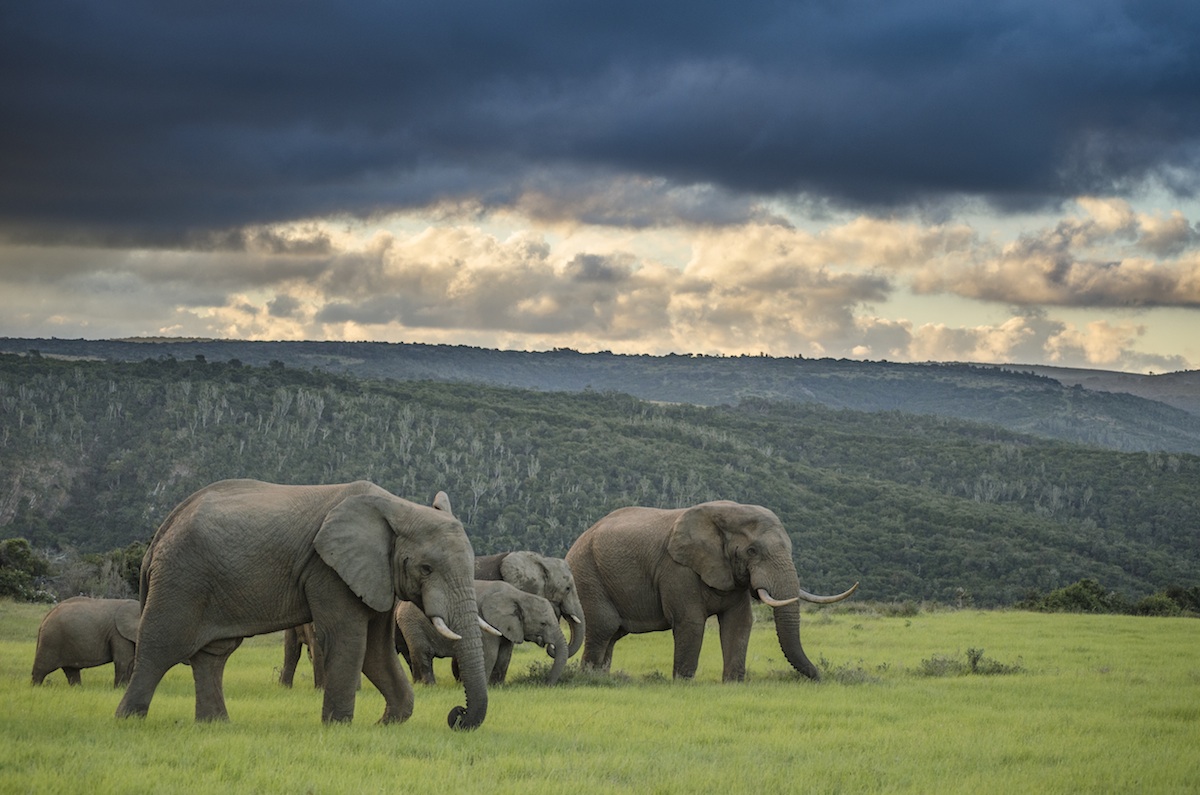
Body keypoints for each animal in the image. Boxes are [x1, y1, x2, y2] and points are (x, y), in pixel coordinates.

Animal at [113, 480, 487, 730]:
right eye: (426, 569)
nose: (456, 715)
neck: (396, 506)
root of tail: (163, 529)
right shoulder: (327, 569)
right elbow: (349, 641)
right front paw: (339, 728)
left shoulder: (377, 575)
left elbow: (376, 651)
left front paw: (387, 724)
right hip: (180, 577)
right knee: (161, 647)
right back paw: (129, 722)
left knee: (213, 655)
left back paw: (215, 726)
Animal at [398, 583, 566, 686]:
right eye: (543, 624)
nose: (546, 684)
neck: (519, 595)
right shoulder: (485, 622)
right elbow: (489, 653)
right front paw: (487, 686)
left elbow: (504, 655)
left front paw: (497, 686)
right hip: (413, 624)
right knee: (423, 654)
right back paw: (429, 686)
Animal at [561, 504, 854, 686]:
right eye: (752, 551)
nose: (820, 679)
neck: (724, 515)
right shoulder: (677, 569)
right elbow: (690, 622)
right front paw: (683, 684)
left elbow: (739, 623)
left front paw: (733, 684)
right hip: (586, 574)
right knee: (603, 628)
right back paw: (589, 680)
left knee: (612, 635)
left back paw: (601, 680)